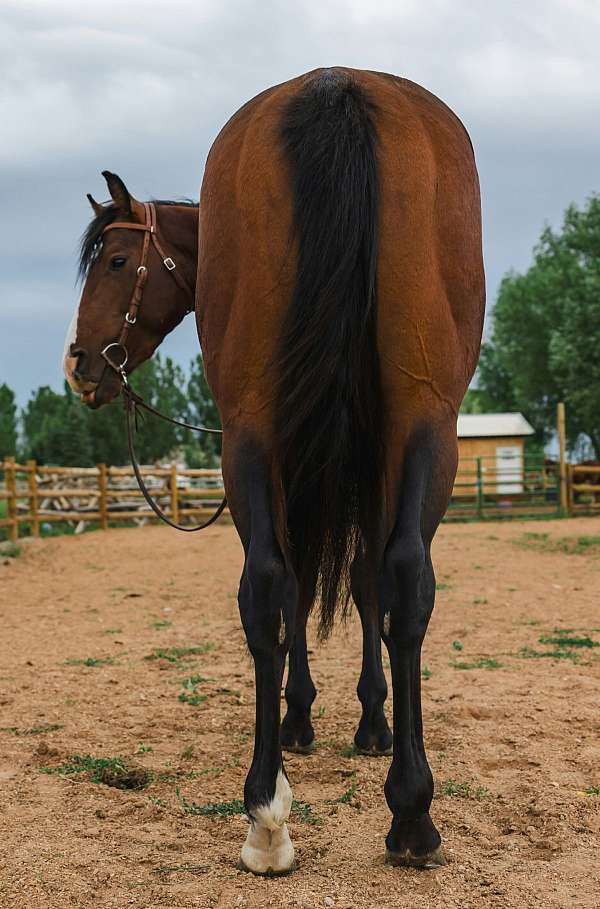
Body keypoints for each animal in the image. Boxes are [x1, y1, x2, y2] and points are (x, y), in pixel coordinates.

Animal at [63, 66, 485, 875]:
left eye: (118, 263)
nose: (78, 364)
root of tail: (337, 87)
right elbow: (358, 586)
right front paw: (354, 720)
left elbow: (320, 590)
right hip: (415, 425)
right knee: (393, 581)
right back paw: (399, 813)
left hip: (260, 431)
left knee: (274, 586)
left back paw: (270, 816)